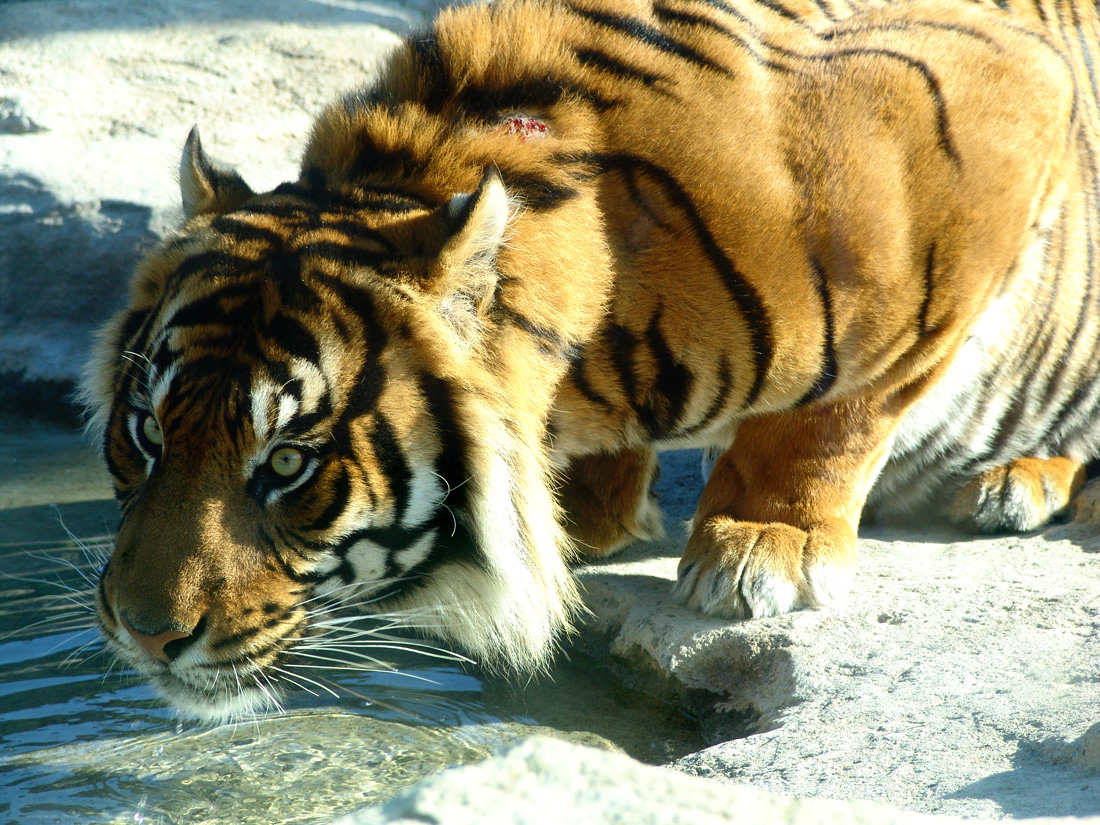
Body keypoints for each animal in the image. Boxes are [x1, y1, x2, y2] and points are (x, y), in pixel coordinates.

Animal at [81, 0, 1100, 721]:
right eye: (146, 434)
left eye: (288, 462)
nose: (144, 635)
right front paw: (588, 512)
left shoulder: (999, 116)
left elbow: (836, 412)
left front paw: (761, 544)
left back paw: (1016, 480)